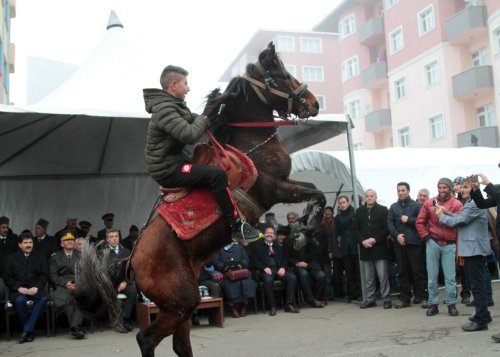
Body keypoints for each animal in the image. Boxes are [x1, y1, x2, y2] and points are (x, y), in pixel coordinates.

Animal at [73, 42, 324, 356]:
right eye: (281, 76)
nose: (314, 103)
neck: (250, 144)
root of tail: (130, 261)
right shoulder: (273, 189)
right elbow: (318, 195)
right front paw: (304, 232)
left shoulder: (285, 183)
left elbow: (316, 191)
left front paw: (303, 230)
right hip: (181, 301)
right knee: (146, 338)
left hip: (182, 303)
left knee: (181, 346)